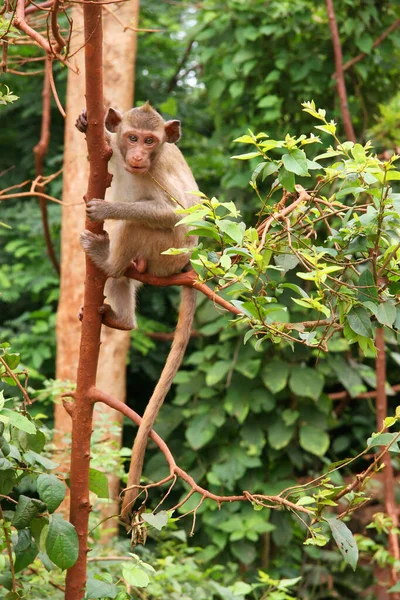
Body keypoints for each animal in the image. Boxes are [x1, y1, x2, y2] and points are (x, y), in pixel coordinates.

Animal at [77, 103, 199, 516]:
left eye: (151, 141)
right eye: (132, 137)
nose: (137, 156)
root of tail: (185, 266)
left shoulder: (160, 173)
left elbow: (176, 212)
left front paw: (106, 206)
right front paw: (88, 125)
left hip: (167, 253)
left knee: (133, 225)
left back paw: (106, 259)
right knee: (123, 271)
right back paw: (122, 318)